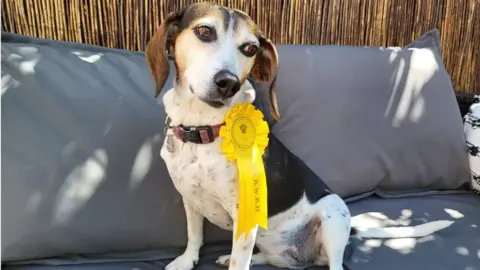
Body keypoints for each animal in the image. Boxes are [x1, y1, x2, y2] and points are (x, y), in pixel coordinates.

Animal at [145, 2, 454, 270]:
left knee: (334, 264)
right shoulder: (190, 198)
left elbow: (237, 261)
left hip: (332, 213)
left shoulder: (245, 217)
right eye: (204, 31)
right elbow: (194, 235)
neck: (202, 129)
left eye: (250, 48)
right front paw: (187, 261)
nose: (228, 83)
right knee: (267, 258)